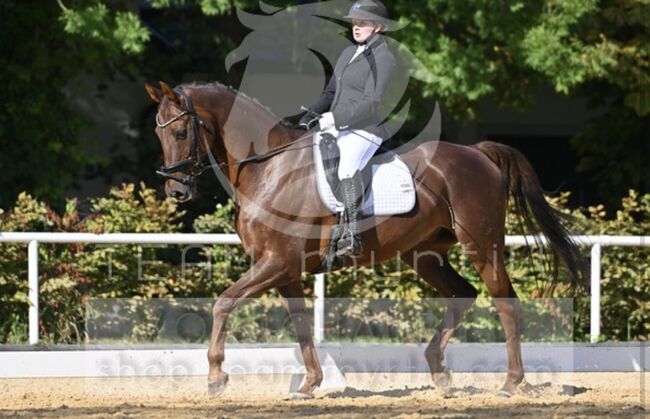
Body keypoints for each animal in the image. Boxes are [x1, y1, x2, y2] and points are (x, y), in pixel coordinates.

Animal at [144, 80, 584, 398]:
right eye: (157, 134)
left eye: (180, 131)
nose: (176, 191)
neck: (269, 169)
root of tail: (476, 152)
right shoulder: (284, 270)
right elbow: (301, 325)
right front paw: (309, 385)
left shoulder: (278, 262)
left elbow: (223, 302)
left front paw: (216, 377)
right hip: (425, 254)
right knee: (462, 294)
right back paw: (440, 374)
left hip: (482, 245)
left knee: (505, 303)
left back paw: (512, 383)